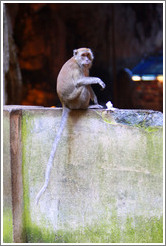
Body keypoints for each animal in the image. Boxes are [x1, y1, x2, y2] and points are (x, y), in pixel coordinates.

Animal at [36, 47, 105, 204]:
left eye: (88, 55)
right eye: (83, 55)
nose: (87, 60)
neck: (78, 62)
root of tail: (64, 103)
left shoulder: (86, 69)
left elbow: (88, 82)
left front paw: (96, 98)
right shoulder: (77, 69)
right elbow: (81, 81)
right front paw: (98, 81)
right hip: (76, 99)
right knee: (82, 86)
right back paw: (87, 107)